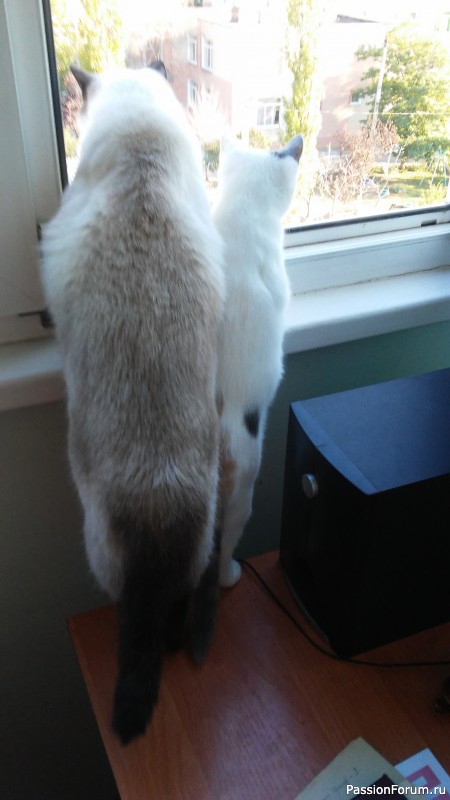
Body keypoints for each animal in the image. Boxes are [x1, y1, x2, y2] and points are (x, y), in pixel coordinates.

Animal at [40, 63, 224, 744]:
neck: (142, 145)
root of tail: (159, 499)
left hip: (100, 546)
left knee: (136, 624)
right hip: (195, 545)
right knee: (171, 618)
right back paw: (176, 640)